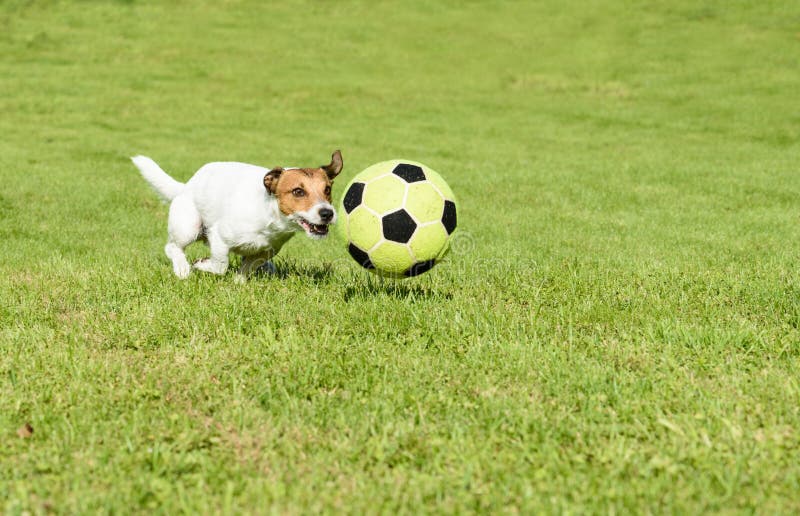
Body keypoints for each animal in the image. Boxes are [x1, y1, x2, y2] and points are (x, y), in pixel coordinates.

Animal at [132, 150, 344, 278]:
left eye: (327, 189)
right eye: (298, 191)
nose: (327, 213)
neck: (270, 217)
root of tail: (186, 186)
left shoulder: (267, 251)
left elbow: (247, 267)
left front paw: (239, 281)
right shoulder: (219, 237)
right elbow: (221, 265)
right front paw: (201, 265)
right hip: (188, 227)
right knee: (172, 247)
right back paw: (182, 269)